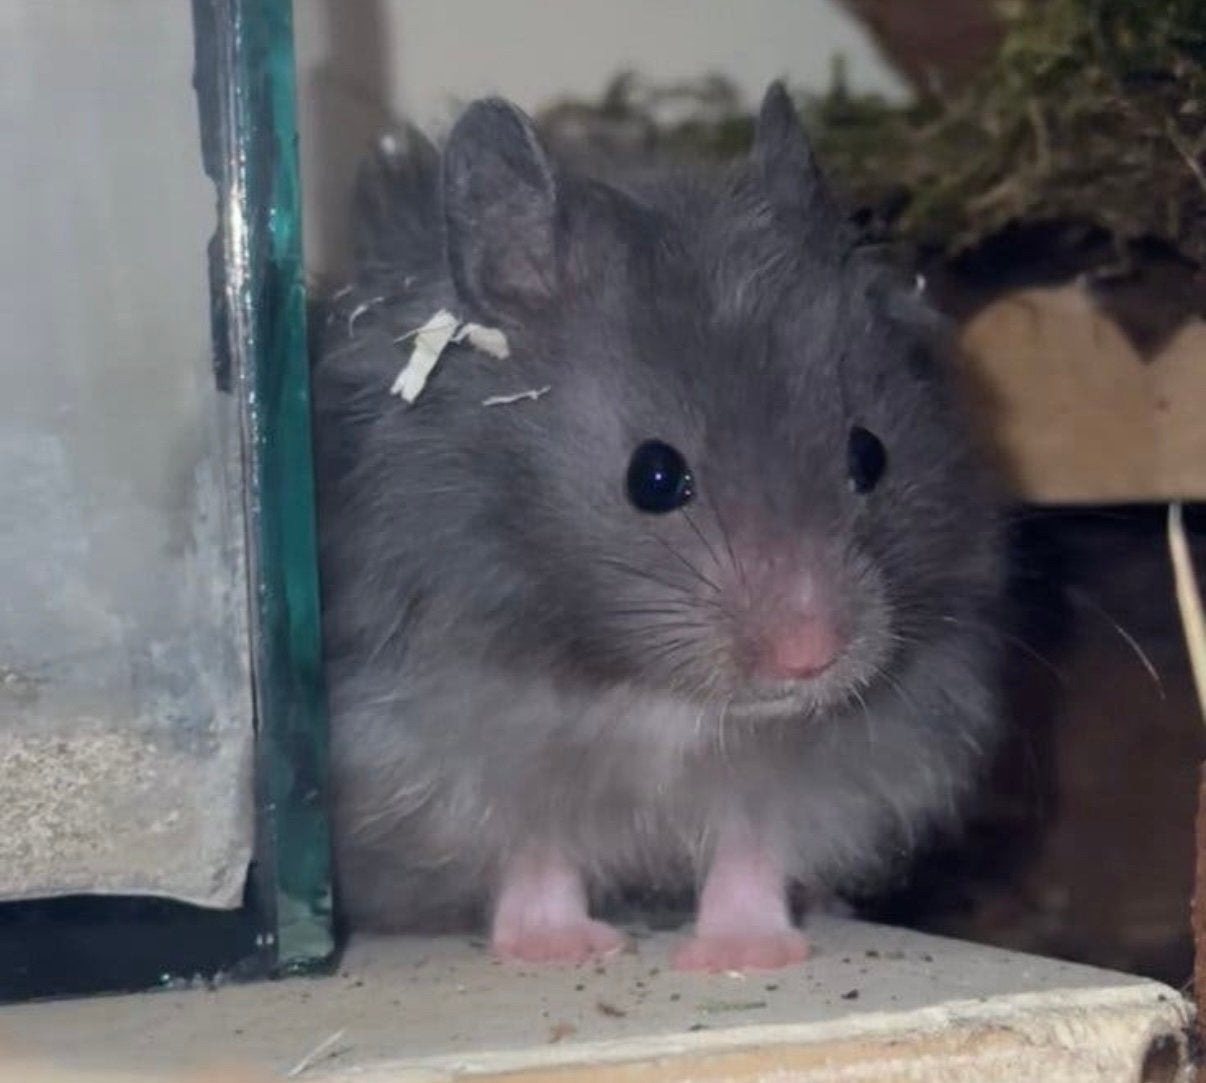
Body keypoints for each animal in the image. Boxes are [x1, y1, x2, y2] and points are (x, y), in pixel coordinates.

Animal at [311, 83, 1004, 971]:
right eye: (653, 476)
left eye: (870, 454)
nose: (811, 657)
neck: (660, 694)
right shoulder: (451, 749)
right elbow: (535, 851)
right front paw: (564, 950)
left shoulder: (840, 764)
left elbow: (752, 849)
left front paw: (742, 955)